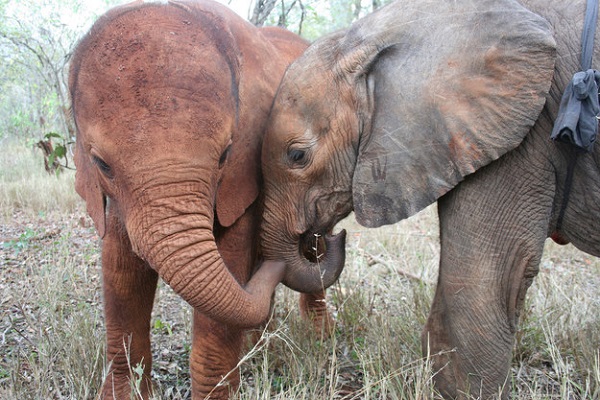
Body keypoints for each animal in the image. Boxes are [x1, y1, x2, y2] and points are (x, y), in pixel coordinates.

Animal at [69, 1, 342, 398]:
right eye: (101, 164)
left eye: (225, 155)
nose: (278, 265)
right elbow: (120, 273)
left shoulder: (245, 172)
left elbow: (231, 258)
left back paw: (319, 334)